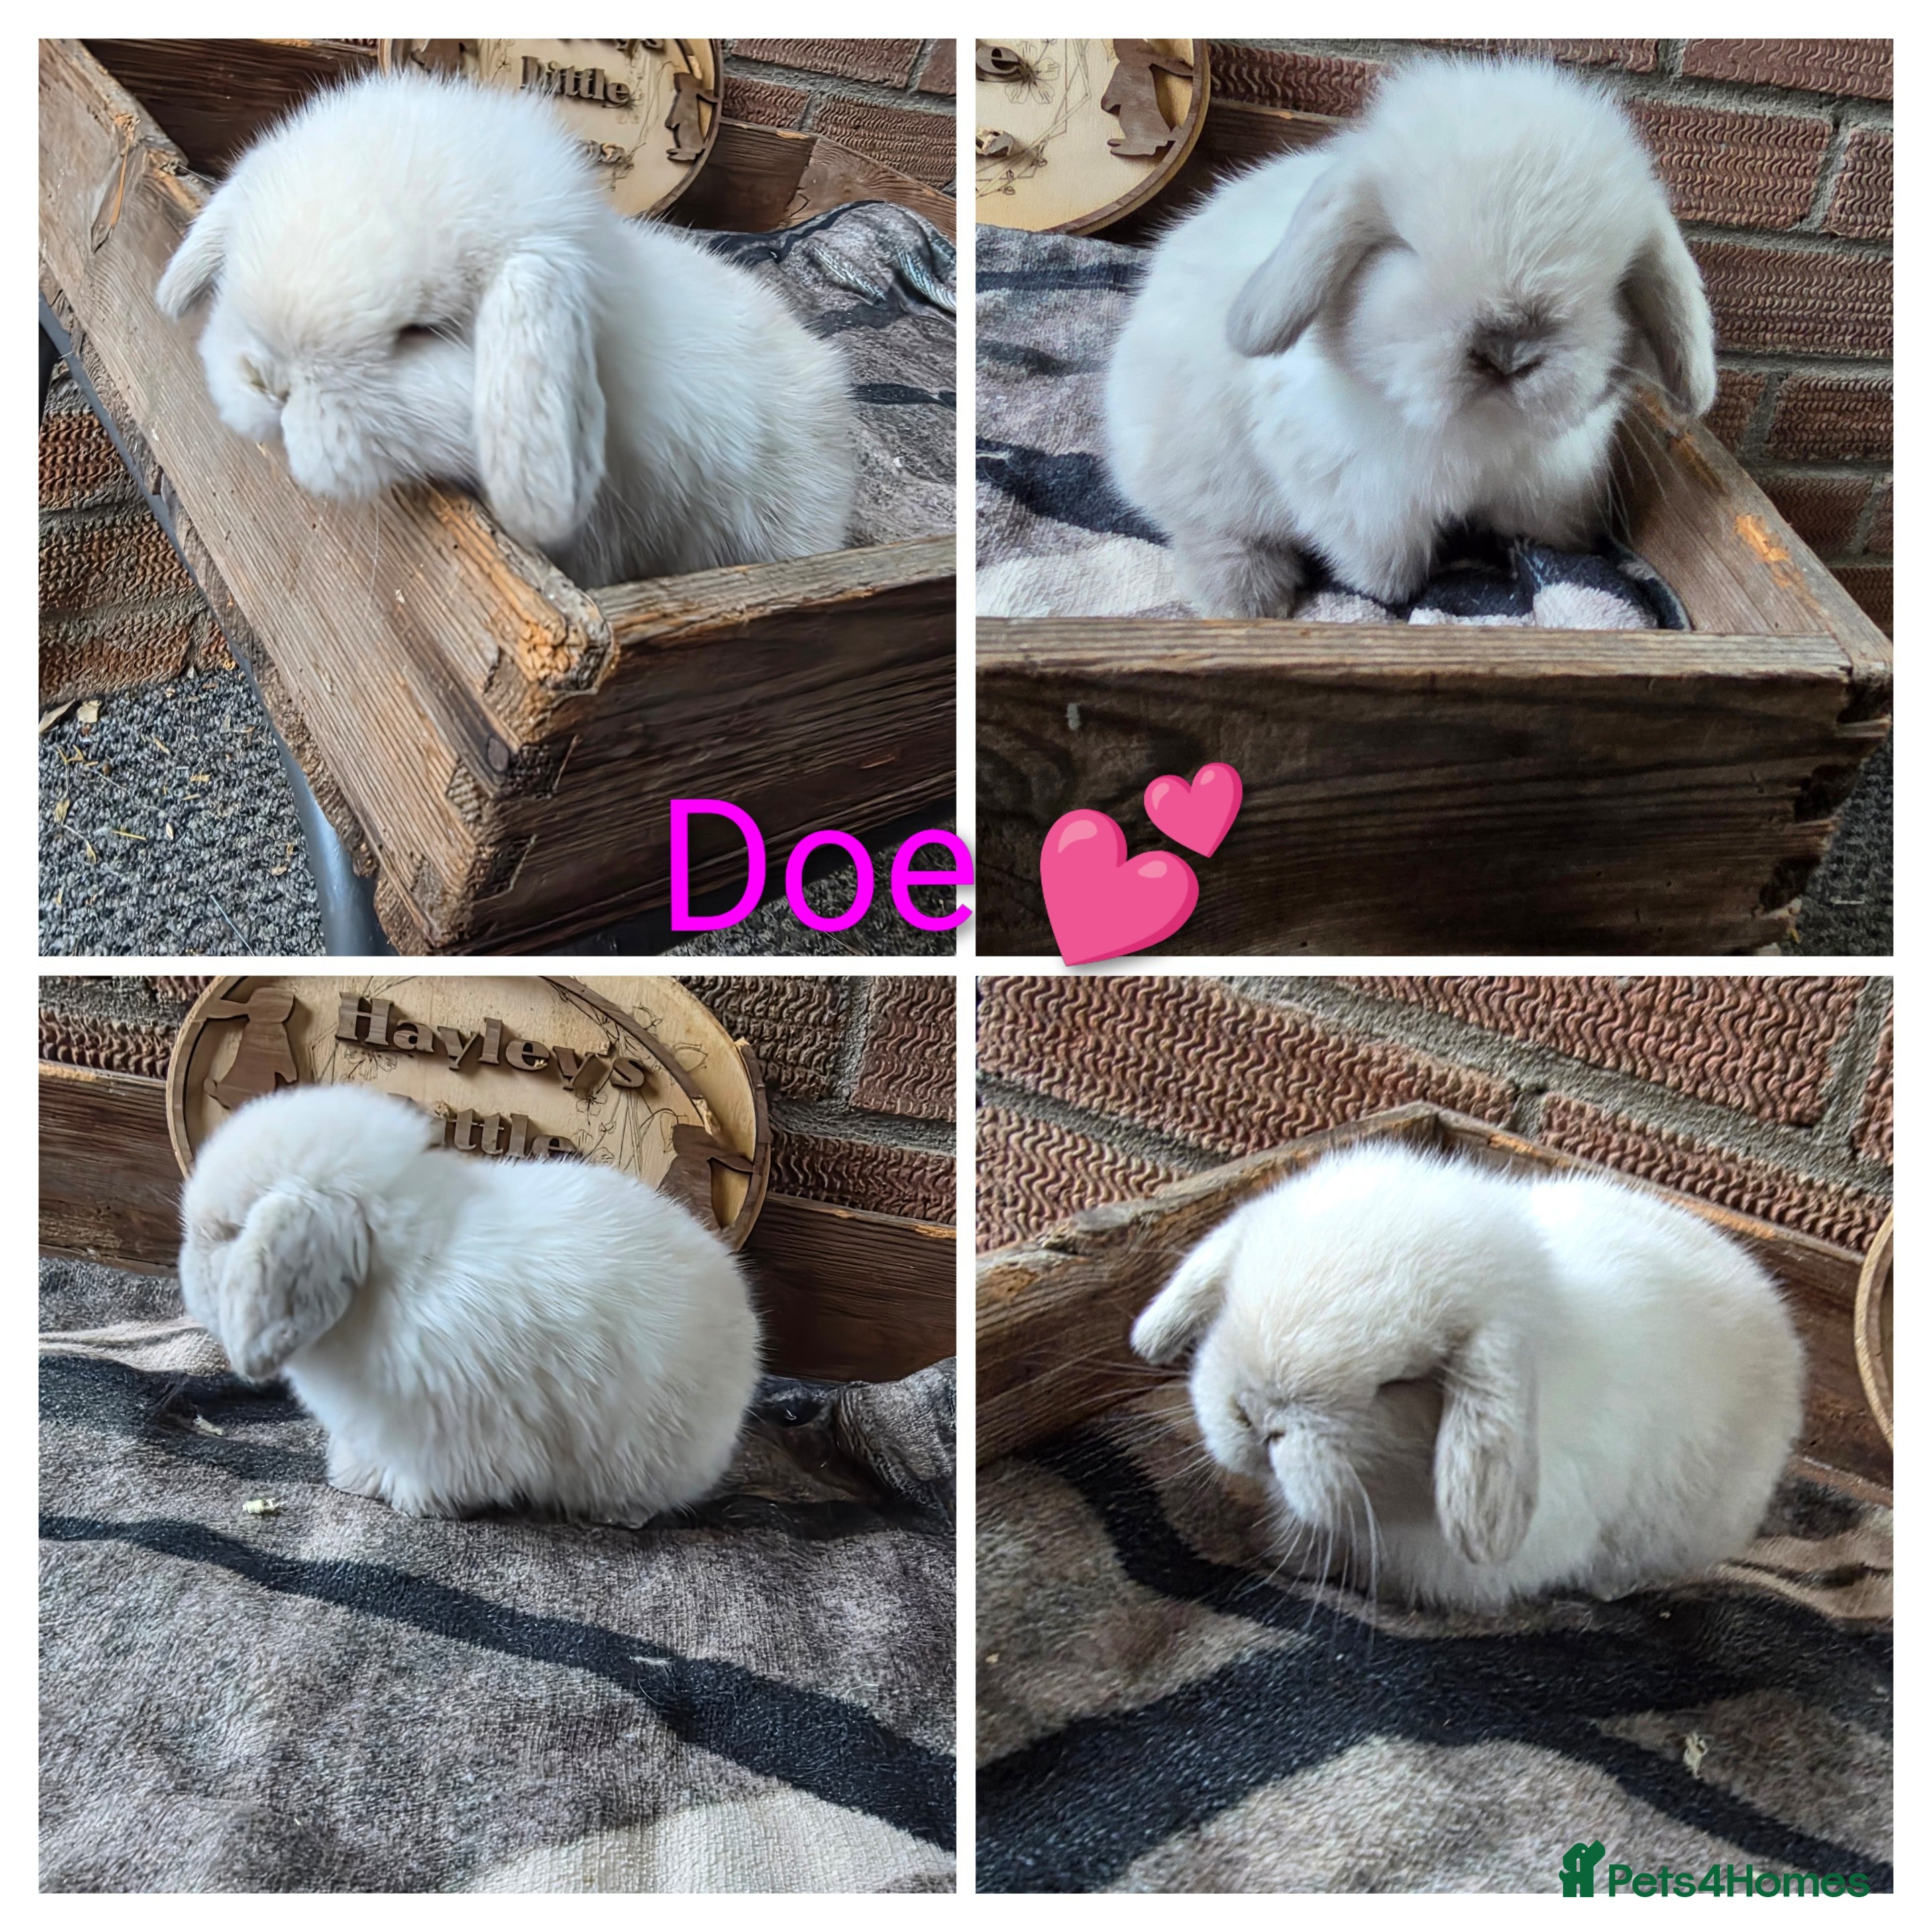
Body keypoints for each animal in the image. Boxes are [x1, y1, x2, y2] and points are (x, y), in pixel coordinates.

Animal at [1105, 56, 1717, 616]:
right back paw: (1249, 597)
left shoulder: (1545, 482)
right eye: (1404, 248)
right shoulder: (1361, 495)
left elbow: (1541, 525)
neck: (1479, 429)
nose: (1508, 352)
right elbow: (1379, 557)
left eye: (1615, 277)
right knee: (1200, 528)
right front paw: (1393, 592)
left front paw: (1567, 544)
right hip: (1201, 473)